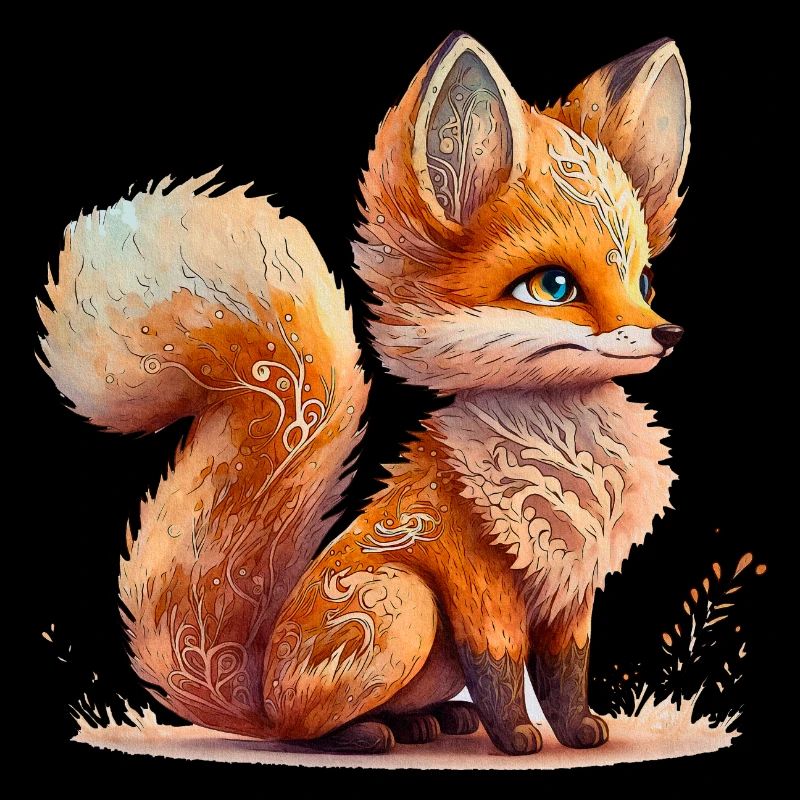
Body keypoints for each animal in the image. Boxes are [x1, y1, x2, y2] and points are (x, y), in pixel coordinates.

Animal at [38, 32, 690, 755]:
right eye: (553, 287)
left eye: (646, 281)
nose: (668, 334)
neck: (567, 449)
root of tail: (258, 696)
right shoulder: (478, 577)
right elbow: (500, 666)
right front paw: (518, 736)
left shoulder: (572, 589)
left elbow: (565, 672)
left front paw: (576, 731)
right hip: (403, 605)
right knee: (303, 732)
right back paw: (366, 735)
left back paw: (429, 722)